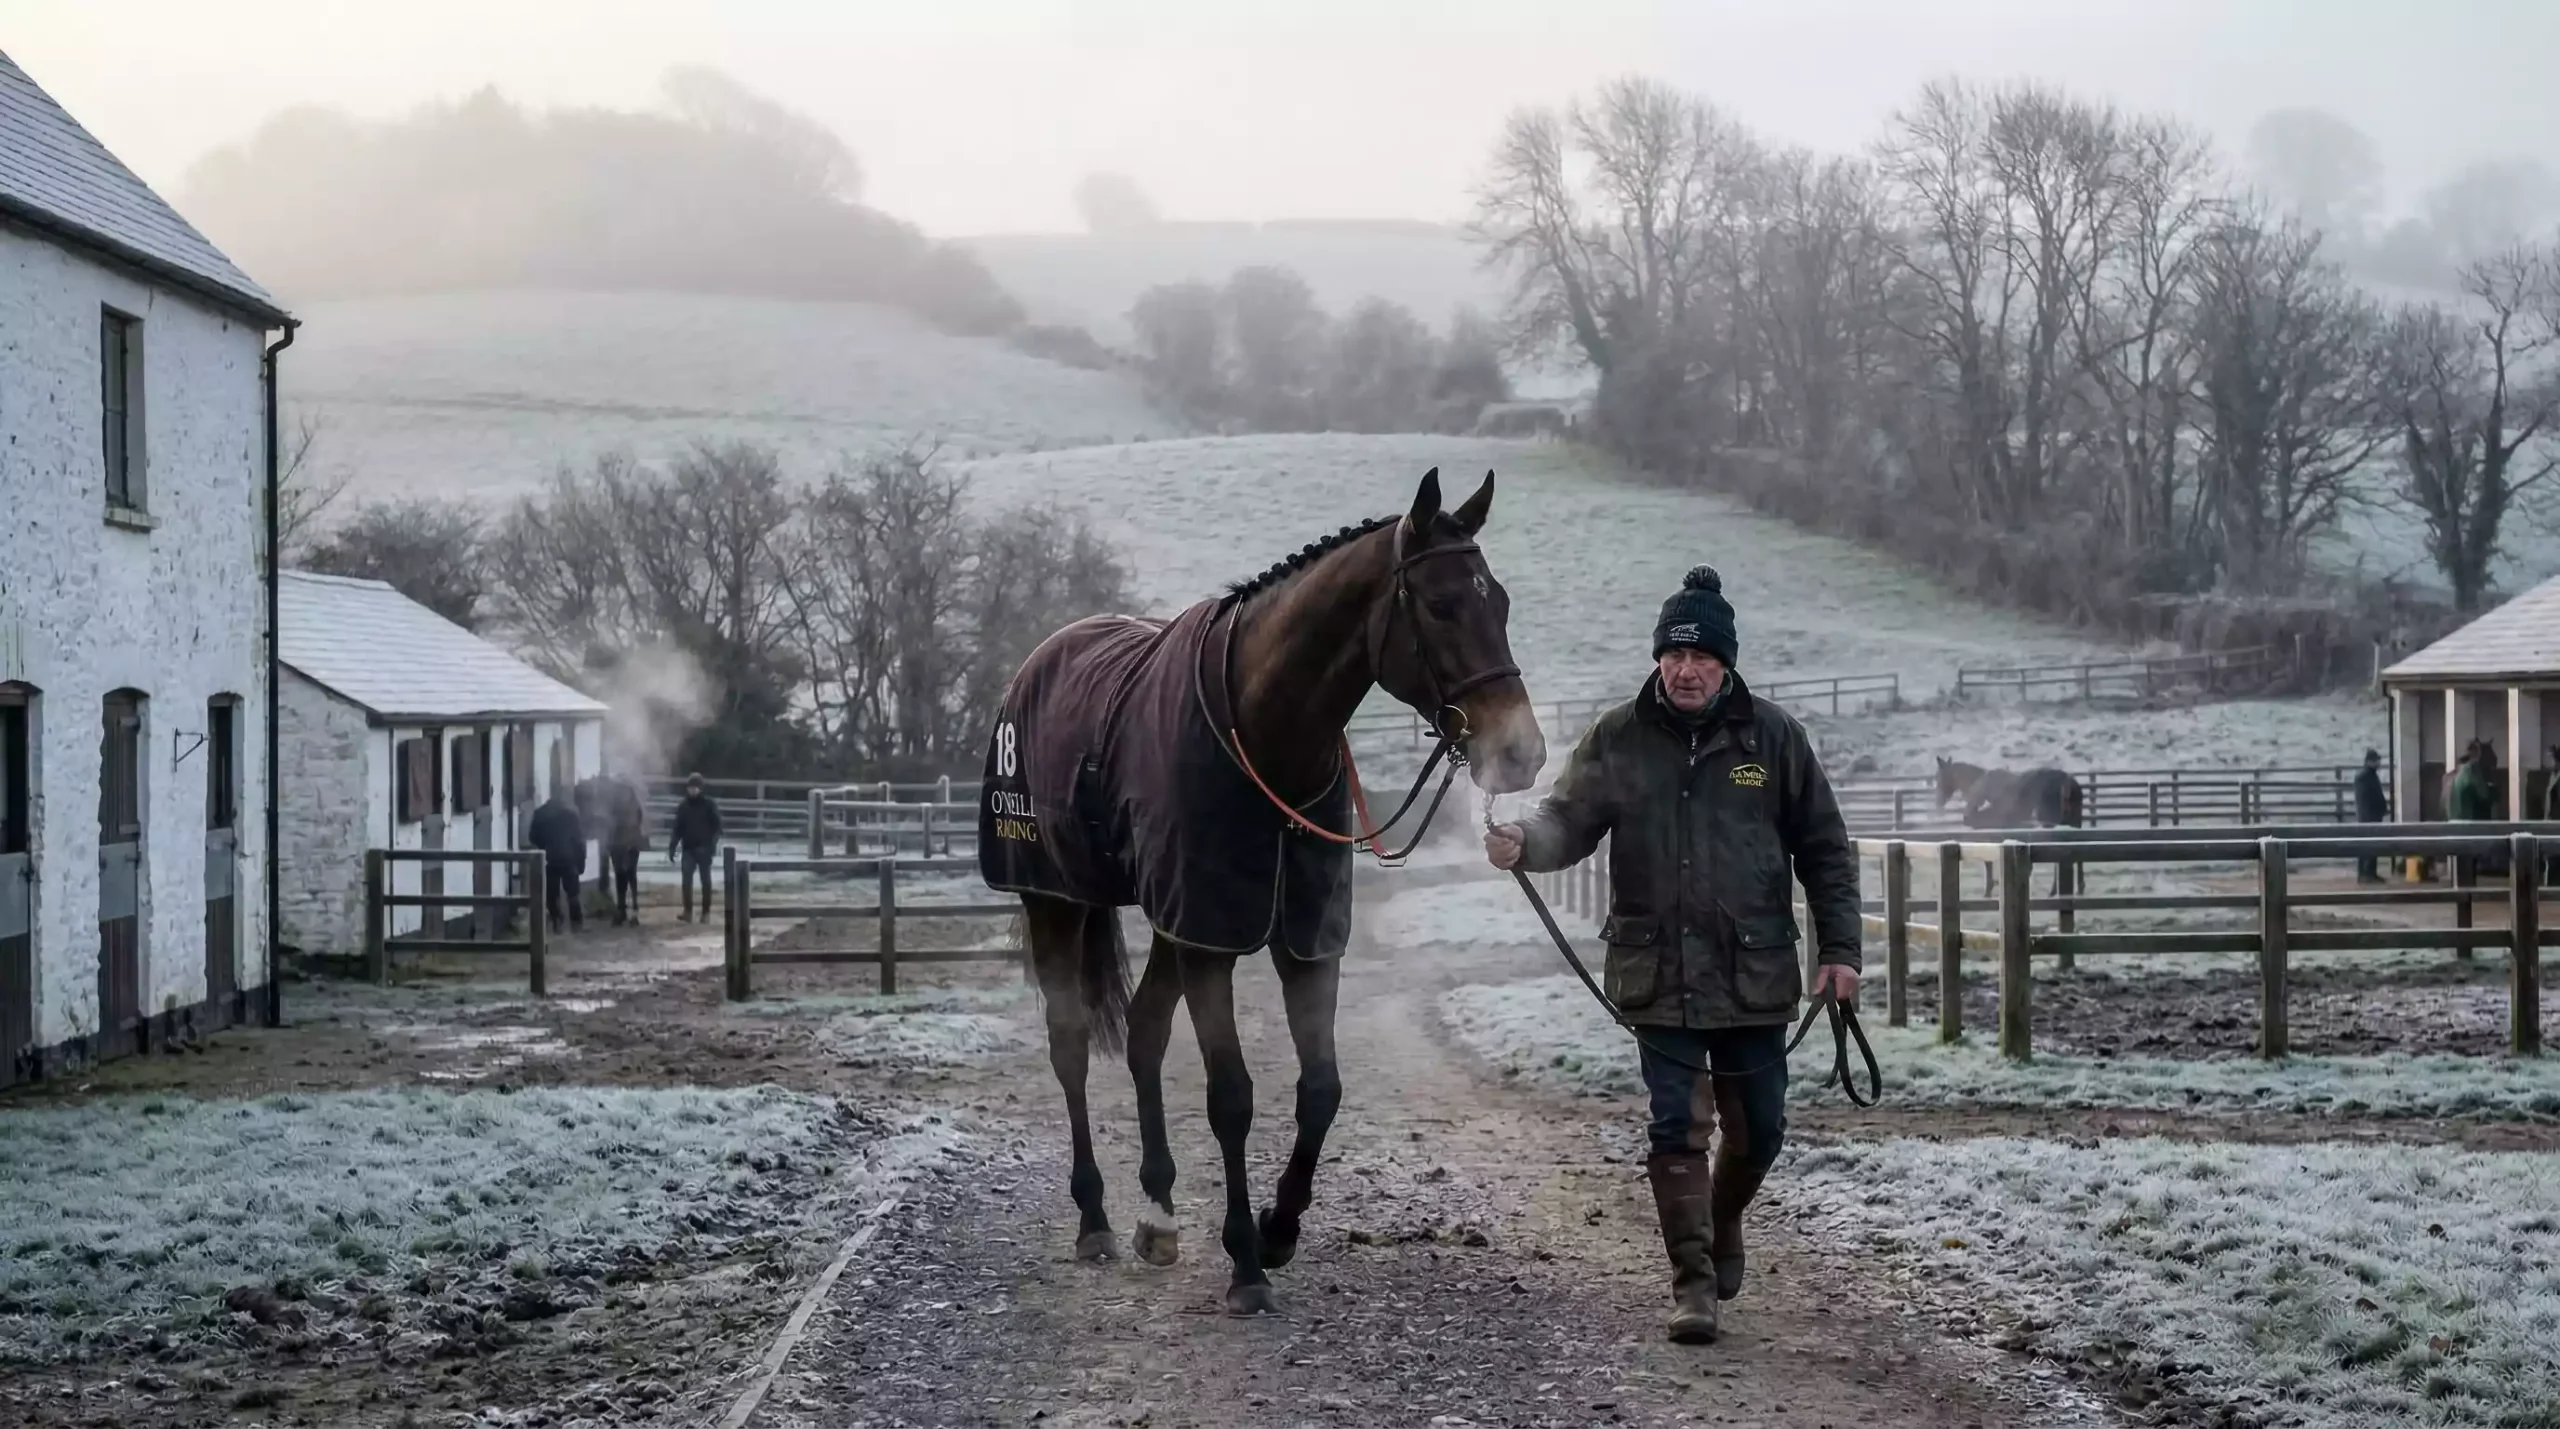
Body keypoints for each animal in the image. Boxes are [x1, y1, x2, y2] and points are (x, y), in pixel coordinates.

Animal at [979, 468, 1544, 1317]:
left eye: (1500, 600)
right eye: (1443, 603)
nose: (1522, 753)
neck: (1262, 729)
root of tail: (1039, 660)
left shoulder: (1301, 937)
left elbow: (1321, 1088)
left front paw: (1279, 1228)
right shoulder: (1213, 937)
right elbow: (1232, 1097)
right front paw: (1246, 1260)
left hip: (1173, 922)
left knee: (1143, 1031)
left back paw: (1158, 1214)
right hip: (1058, 901)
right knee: (1071, 1043)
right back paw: (1095, 1218)